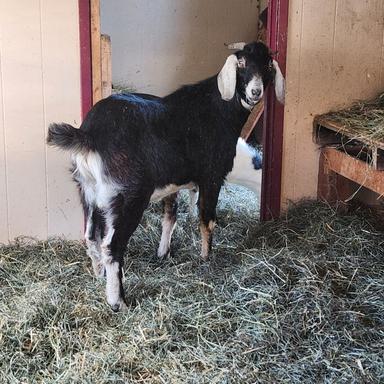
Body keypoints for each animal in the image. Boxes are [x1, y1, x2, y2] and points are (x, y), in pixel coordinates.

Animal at [48, 42, 284, 312]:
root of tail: (89, 134)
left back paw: (99, 276)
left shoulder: (174, 183)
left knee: (90, 236)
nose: (255, 91)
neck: (219, 109)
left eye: (268, 64)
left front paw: (163, 253)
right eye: (242, 62)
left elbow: (170, 217)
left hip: (87, 191)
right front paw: (206, 258)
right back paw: (119, 301)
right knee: (112, 245)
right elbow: (207, 219)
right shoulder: (212, 176)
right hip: (127, 195)